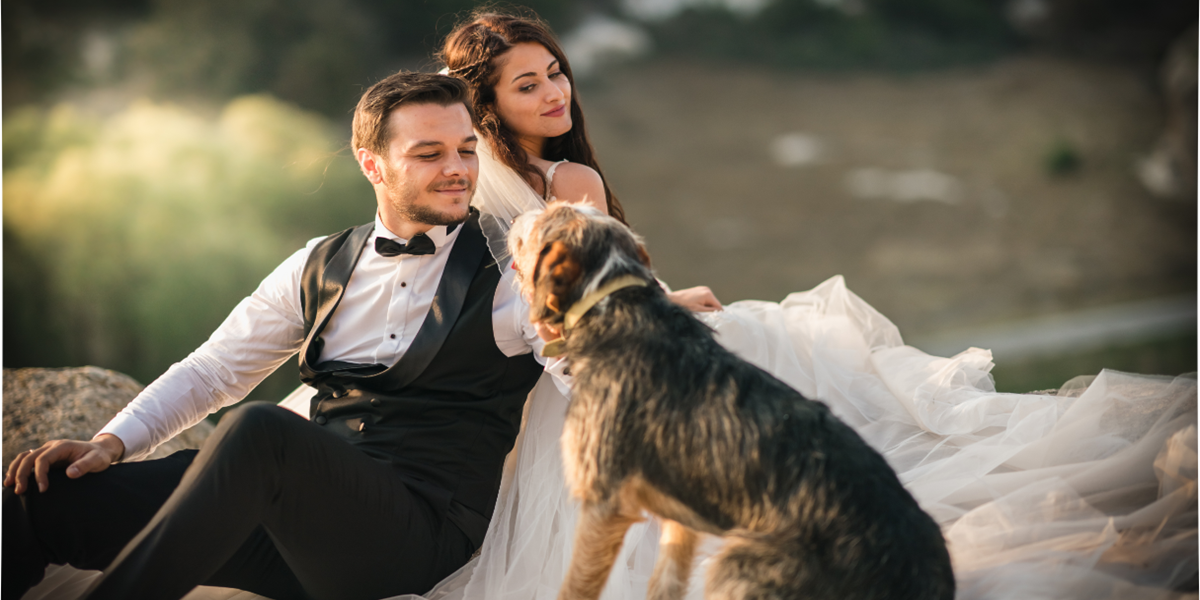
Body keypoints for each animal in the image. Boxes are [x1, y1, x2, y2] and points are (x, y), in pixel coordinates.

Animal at [508, 202, 955, 600]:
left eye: (549, 212)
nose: (514, 217)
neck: (614, 304)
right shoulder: (681, 517)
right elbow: (665, 583)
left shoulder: (603, 504)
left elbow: (574, 588)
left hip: (735, 563)